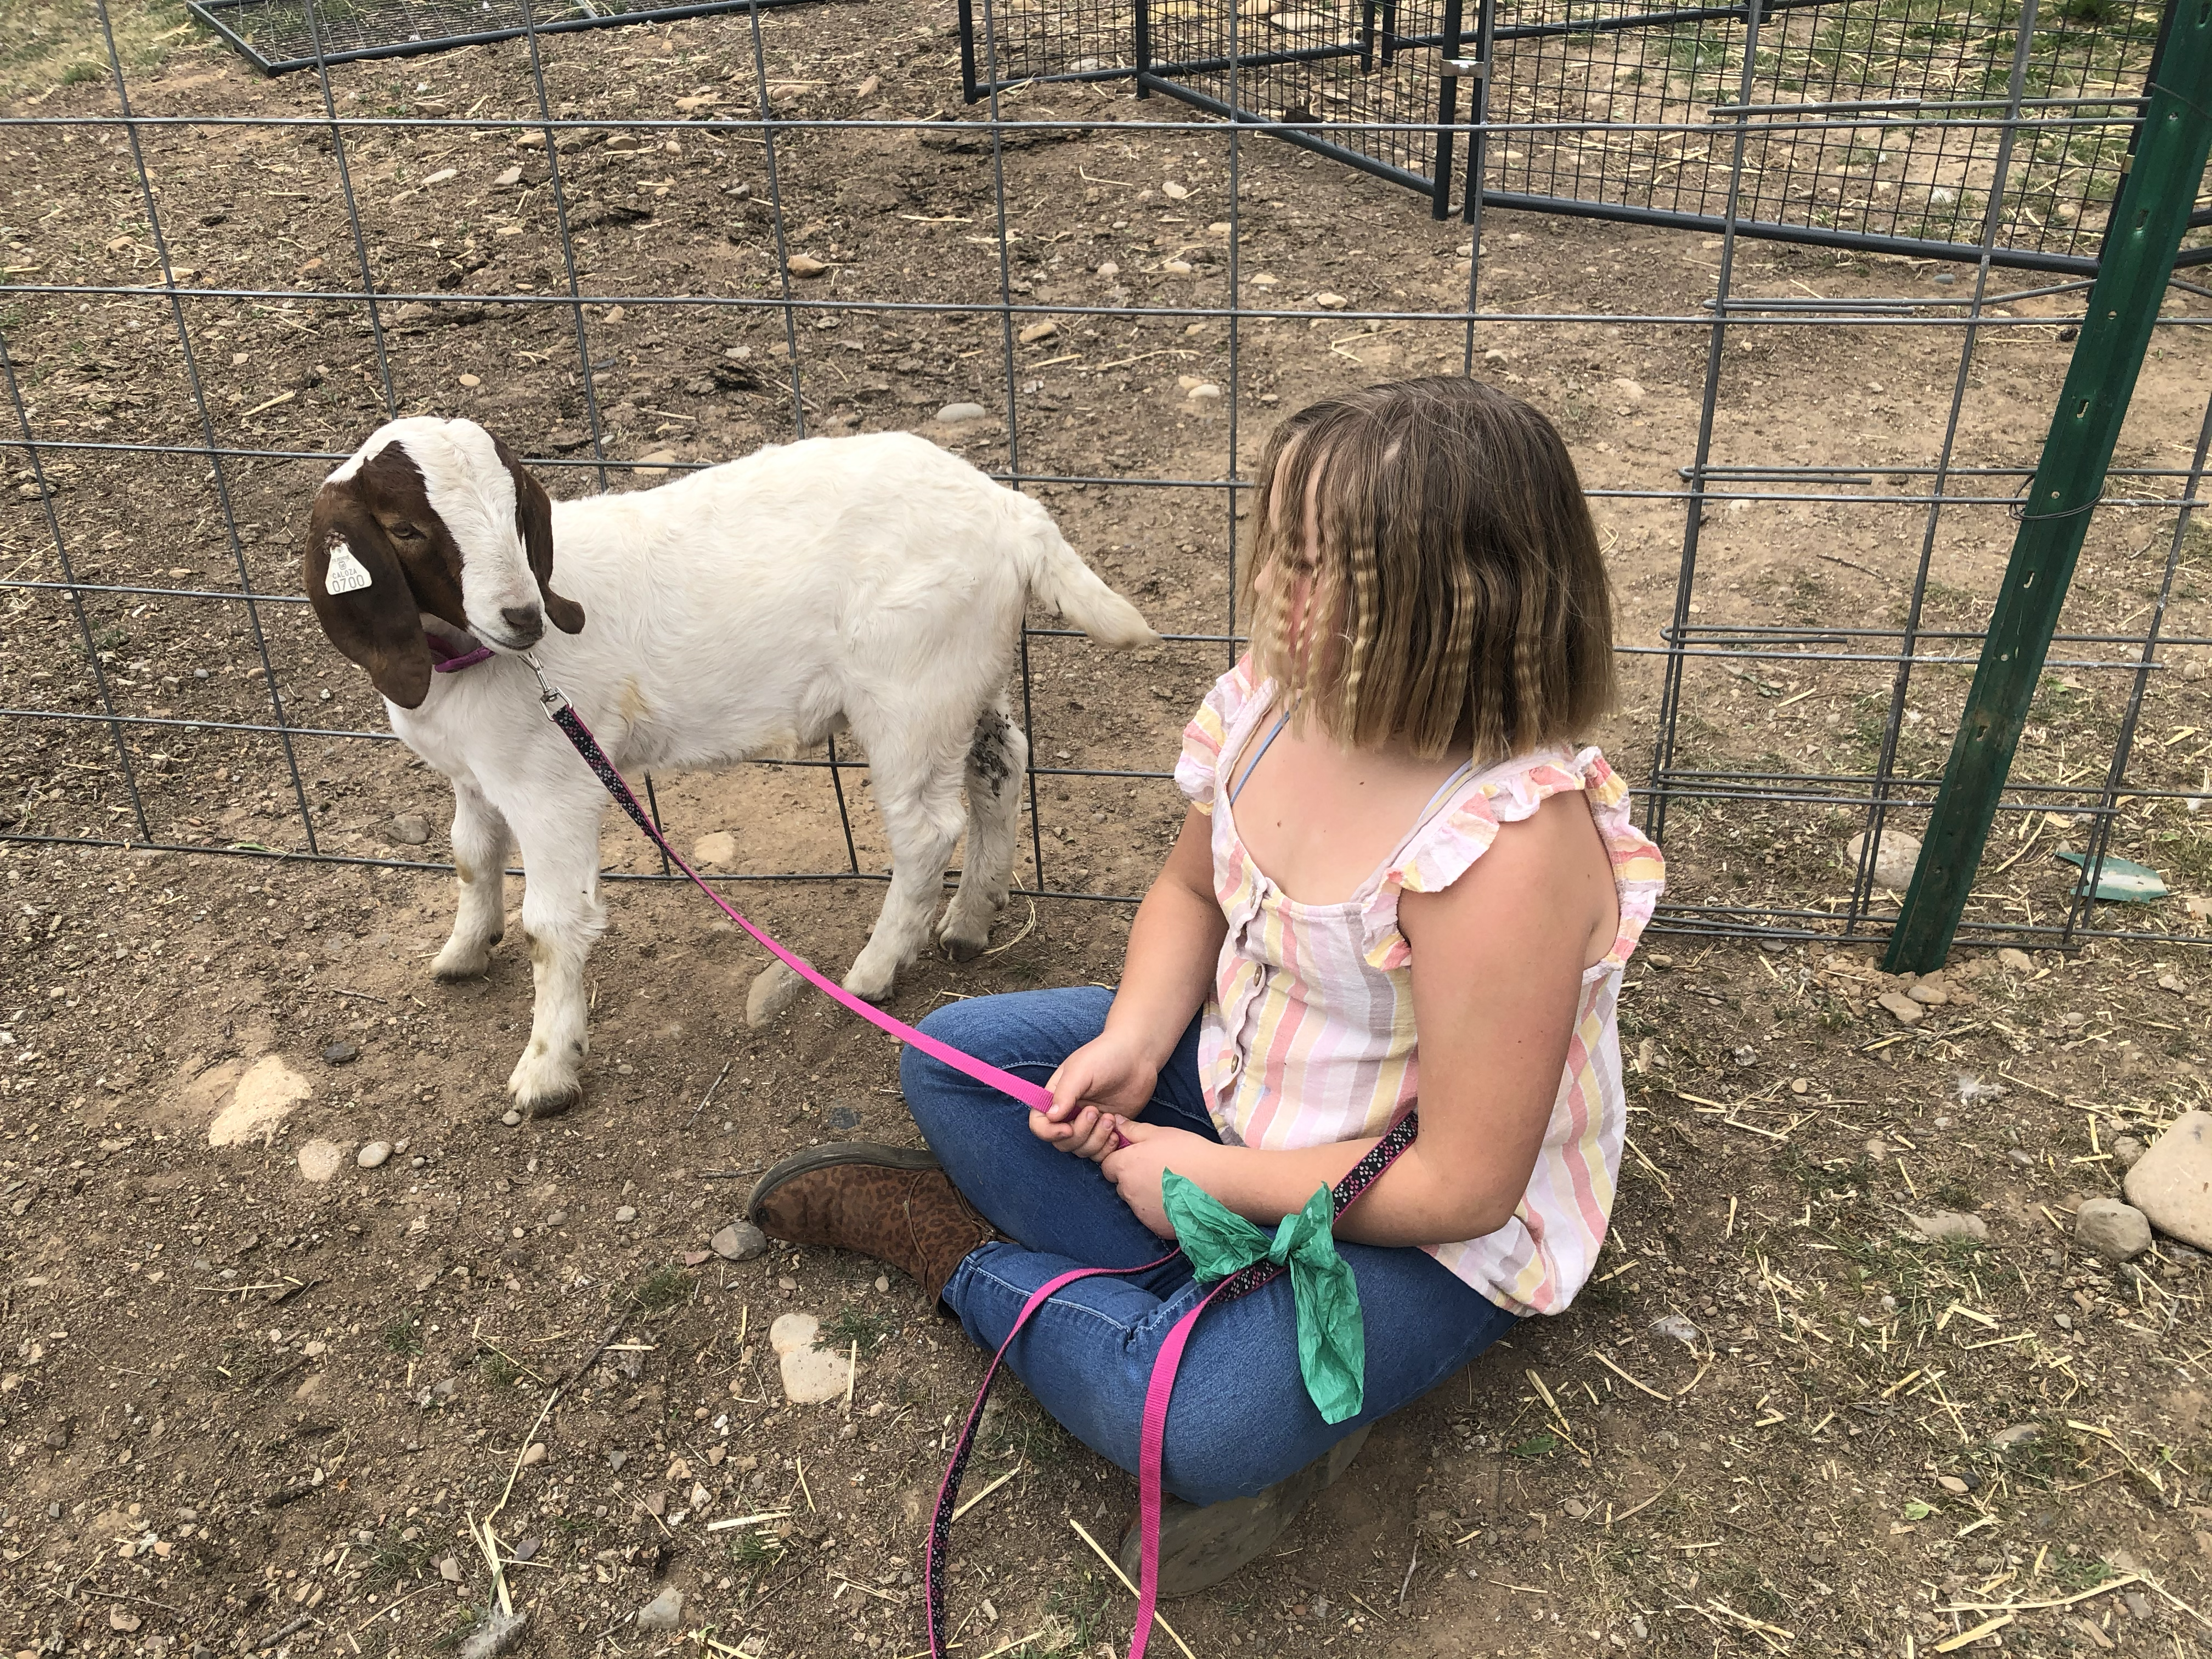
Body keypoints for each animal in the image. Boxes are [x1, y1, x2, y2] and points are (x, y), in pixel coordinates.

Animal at [307, 416, 1159, 1119]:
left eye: (515, 510)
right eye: (407, 528)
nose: (524, 616)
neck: (468, 663)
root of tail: (1011, 514)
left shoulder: (553, 786)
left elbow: (551, 925)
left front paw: (547, 1071)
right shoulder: (477, 776)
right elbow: (471, 857)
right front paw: (462, 951)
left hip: (912, 692)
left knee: (926, 829)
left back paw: (875, 970)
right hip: (966, 680)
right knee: (999, 766)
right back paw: (970, 922)